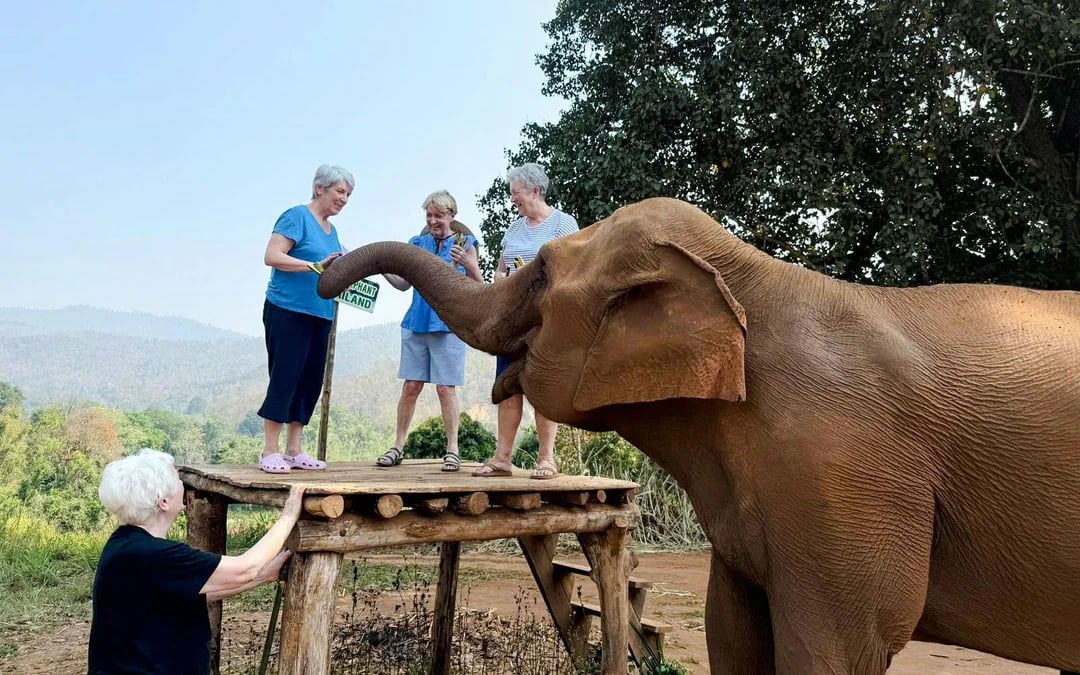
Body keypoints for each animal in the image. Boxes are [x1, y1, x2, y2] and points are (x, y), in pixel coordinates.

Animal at [318, 197, 1080, 674]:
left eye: (540, 274)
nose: (325, 275)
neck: (750, 275)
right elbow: (732, 635)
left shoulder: (847, 477)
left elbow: (839, 647)